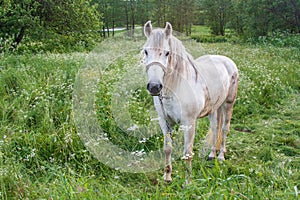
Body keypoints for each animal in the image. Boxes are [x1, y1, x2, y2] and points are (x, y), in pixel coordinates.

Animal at [143, 21, 239, 182]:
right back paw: (212, 154)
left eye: (167, 53)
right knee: (215, 128)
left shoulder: (189, 123)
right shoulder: (164, 122)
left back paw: (220, 156)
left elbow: (187, 153)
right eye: (145, 51)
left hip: (228, 104)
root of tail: (227, 61)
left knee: (225, 129)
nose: (154, 87)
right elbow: (167, 149)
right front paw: (167, 177)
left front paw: (188, 182)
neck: (175, 88)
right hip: (214, 108)